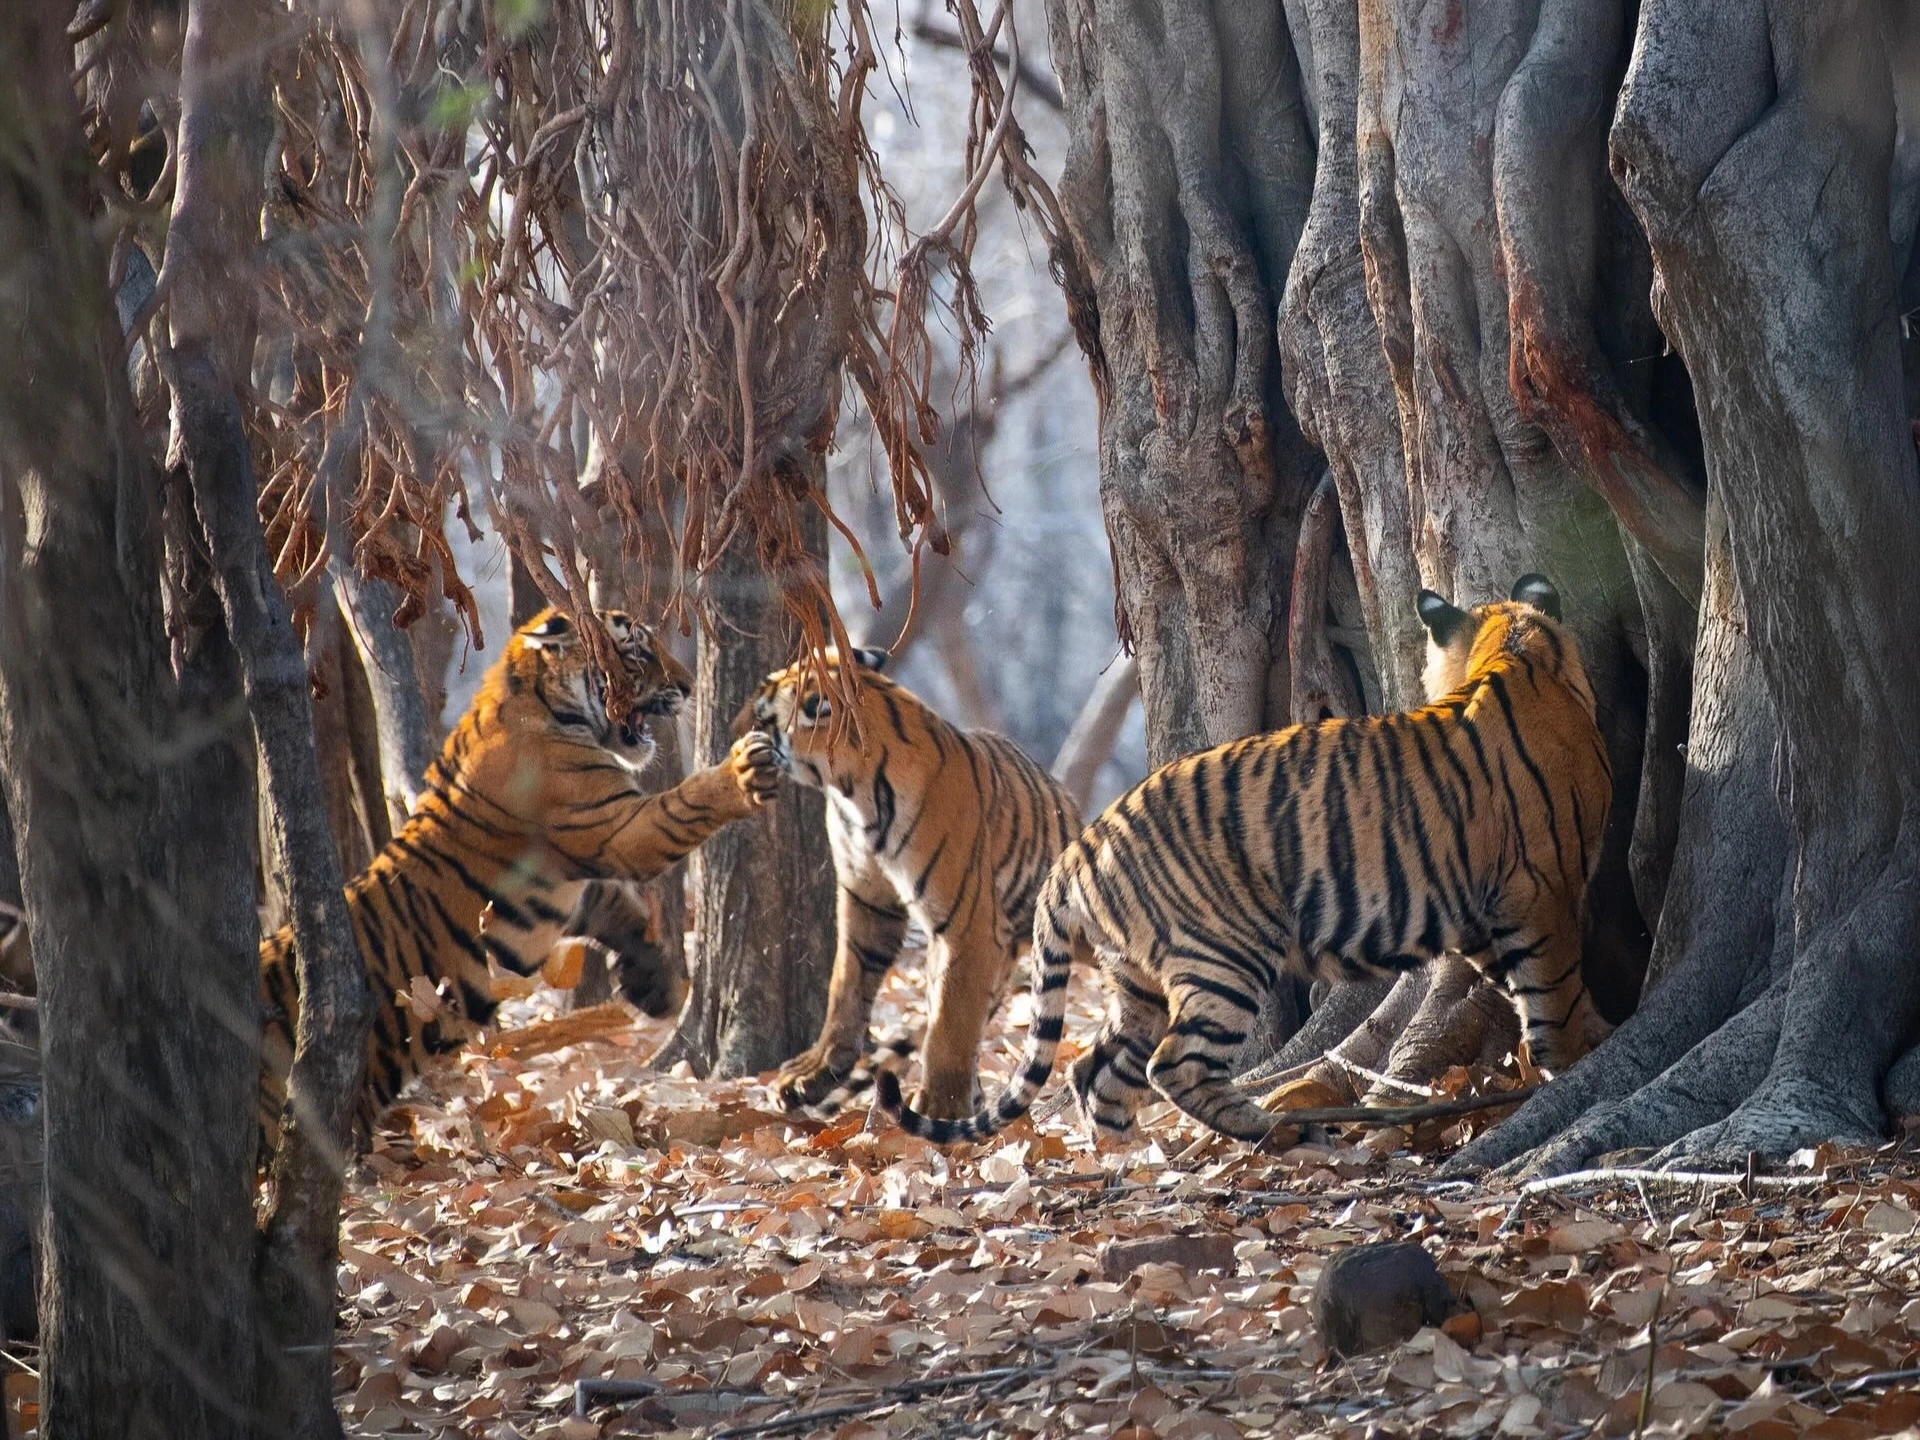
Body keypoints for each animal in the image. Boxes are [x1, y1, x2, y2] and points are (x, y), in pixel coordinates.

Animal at [257, 607, 780, 1142]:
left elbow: (615, 906)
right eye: (639, 652)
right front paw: (744, 769)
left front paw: (655, 983)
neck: (540, 702)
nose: (689, 685)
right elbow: (684, 804)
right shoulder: (612, 824)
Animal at [735, 647, 1082, 1120]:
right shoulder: (866, 900)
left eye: (760, 714)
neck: (852, 793)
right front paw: (814, 1071)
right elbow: (845, 986)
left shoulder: (966, 928)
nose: (734, 734)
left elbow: (950, 1023)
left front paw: (939, 1105)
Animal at [877, 574, 1613, 1146]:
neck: (1521, 650)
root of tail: (1079, 847)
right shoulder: (1542, 892)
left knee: (1099, 1070)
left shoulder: (1483, 910)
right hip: (1225, 955)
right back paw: (1275, 1130)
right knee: (1172, 1066)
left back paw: (1123, 1159)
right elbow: (1554, 994)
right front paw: (1583, 1055)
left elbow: (1522, 984)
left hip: (1136, 980)